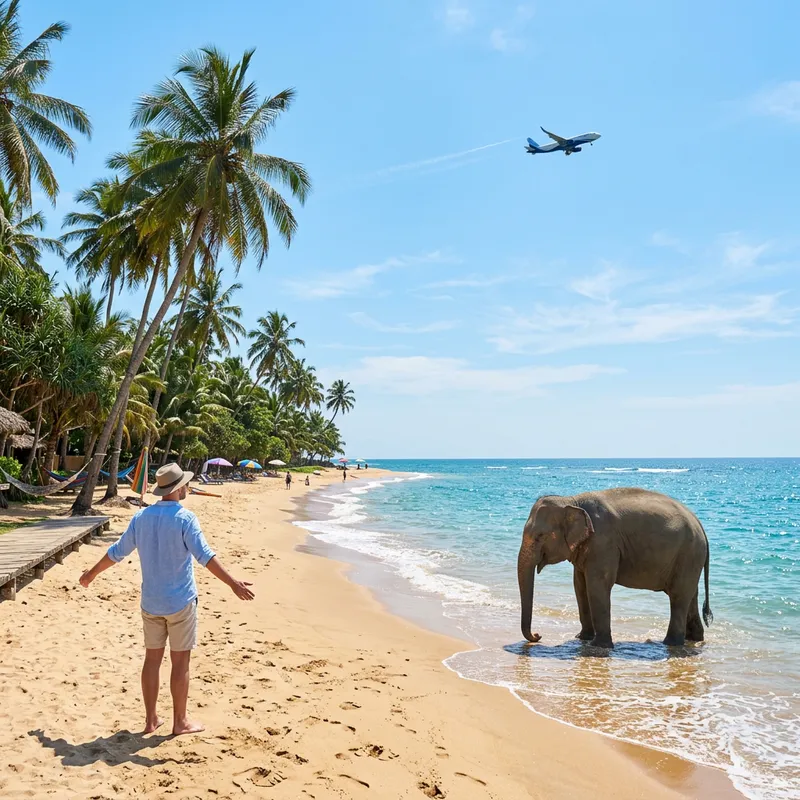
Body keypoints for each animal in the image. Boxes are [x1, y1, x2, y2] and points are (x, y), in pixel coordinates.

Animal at [517, 488, 712, 648]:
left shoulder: (603, 542)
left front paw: (599, 646)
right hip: (690, 558)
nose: (538, 635)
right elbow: (580, 586)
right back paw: (694, 639)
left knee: (678, 596)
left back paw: (670, 643)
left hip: (689, 554)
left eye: (540, 536)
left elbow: (597, 585)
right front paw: (582, 638)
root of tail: (700, 525)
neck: (572, 500)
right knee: (690, 595)